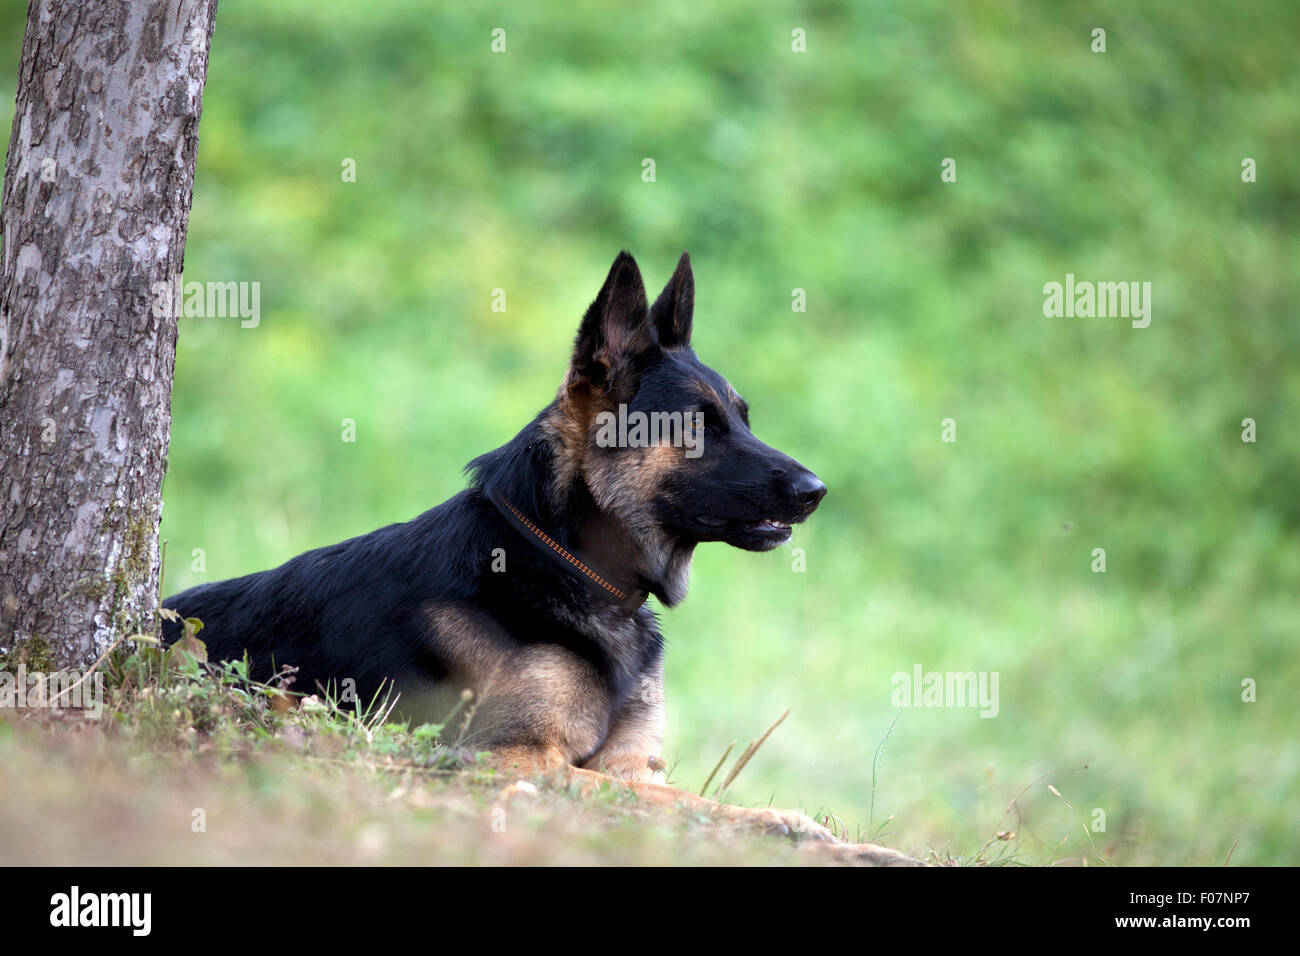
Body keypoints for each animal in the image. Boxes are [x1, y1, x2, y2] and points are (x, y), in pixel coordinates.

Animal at [165, 252, 915, 858]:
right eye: (701, 427)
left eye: (745, 419)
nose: (817, 491)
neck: (566, 566)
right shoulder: (512, 760)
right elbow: (671, 804)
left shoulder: (626, 763)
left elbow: (708, 806)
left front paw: (839, 841)